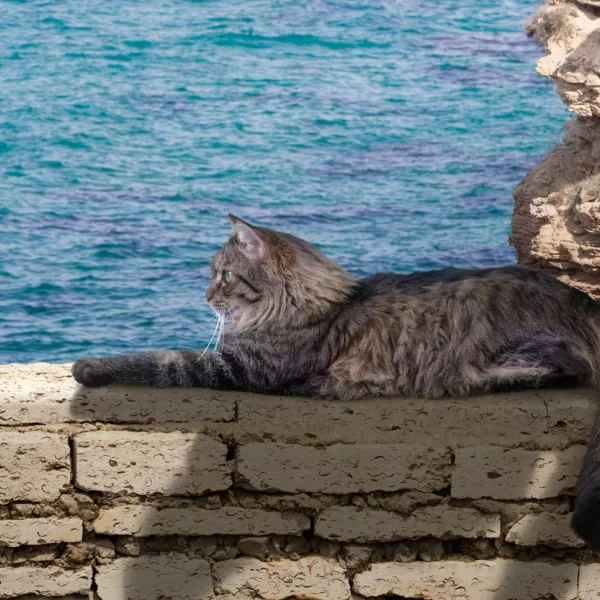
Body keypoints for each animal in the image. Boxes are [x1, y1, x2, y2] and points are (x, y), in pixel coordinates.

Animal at [72, 213, 600, 552]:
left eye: (224, 276)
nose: (205, 296)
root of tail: (584, 301)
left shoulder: (240, 369)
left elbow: (158, 360)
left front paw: (89, 366)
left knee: (564, 371)